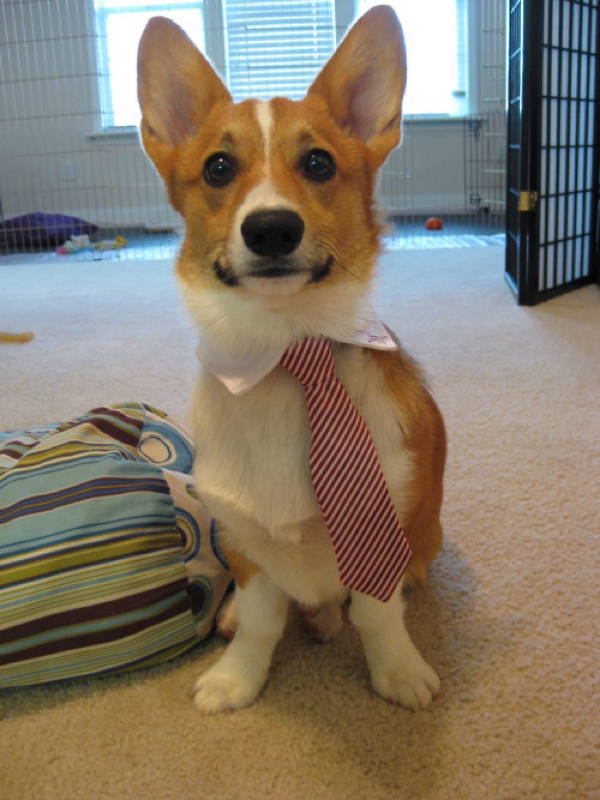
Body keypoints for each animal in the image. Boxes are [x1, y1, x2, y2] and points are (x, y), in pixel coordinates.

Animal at [137, 1, 446, 712]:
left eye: (319, 164)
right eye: (219, 167)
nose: (272, 229)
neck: (286, 347)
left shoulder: (384, 532)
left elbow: (378, 613)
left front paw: (398, 672)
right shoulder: (245, 542)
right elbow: (260, 619)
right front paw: (238, 678)